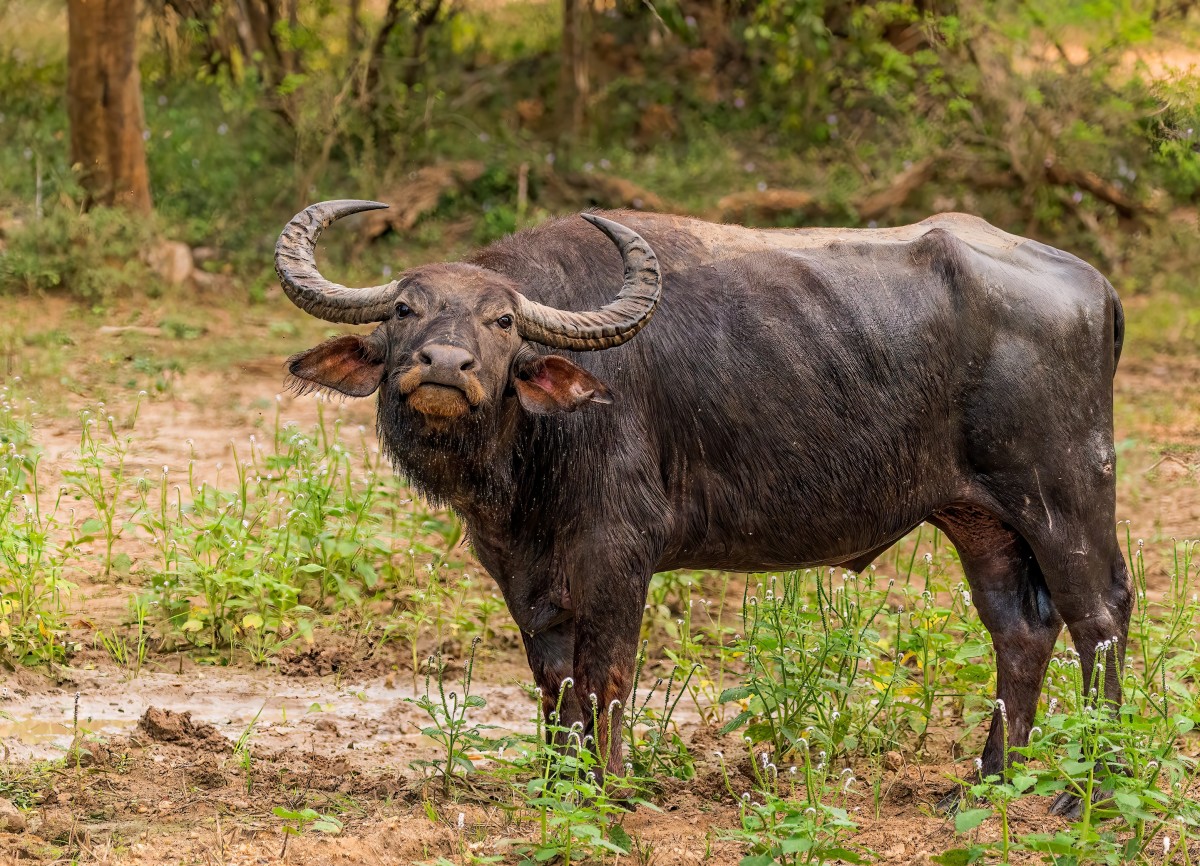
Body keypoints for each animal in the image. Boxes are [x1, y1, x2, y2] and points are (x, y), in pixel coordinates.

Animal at [272, 197, 1123, 801]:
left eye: (503, 320)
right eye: (404, 310)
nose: (444, 366)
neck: (529, 453)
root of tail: (1094, 287)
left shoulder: (620, 549)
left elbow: (607, 671)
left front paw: (610, 788)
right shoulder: (519, 562)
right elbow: (554, 676)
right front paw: (557, 782)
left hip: (1066, 491)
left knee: (1101, 617)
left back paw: (1091, 788)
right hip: (980, 519)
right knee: (1020, 629)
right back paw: (988, 781)